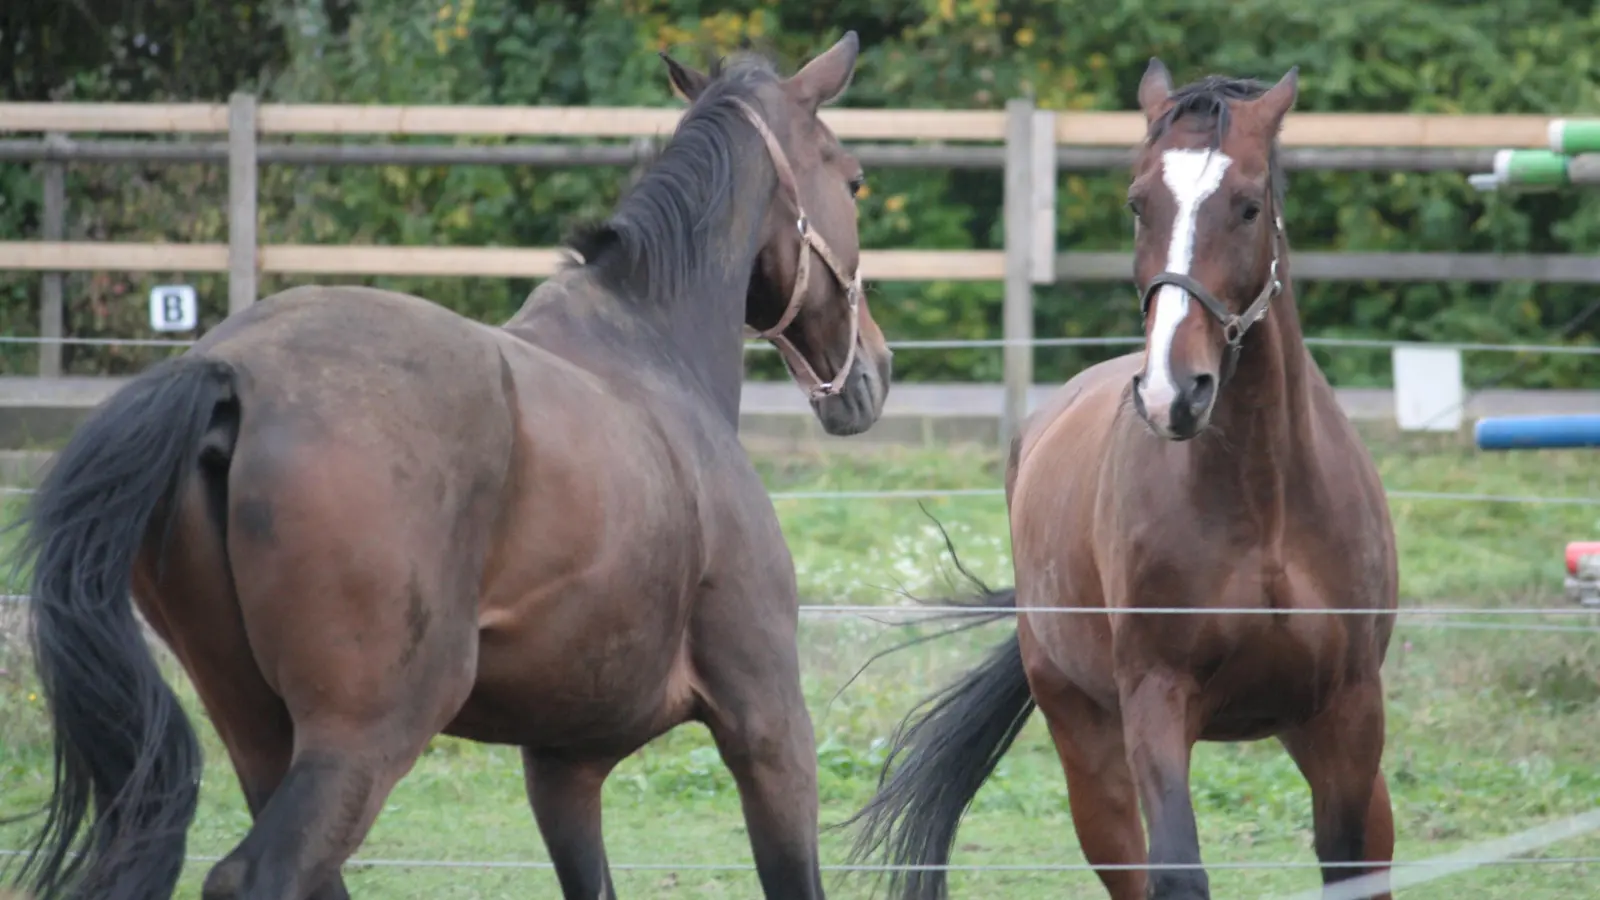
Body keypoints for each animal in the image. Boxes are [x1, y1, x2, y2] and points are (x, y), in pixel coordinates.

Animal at [6, 32, 891, 900]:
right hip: (363, 737)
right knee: (258, 874)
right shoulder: (768, 723)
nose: (874, 371)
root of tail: (226, 376)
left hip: (258, 730)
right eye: (853, 180)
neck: (652, 348)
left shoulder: (563, 765)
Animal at [842, 60, 1399, 900]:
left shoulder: (1349, 709)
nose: (1175, 392)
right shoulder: (1156, 702)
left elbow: (1349, 864)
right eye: (1140, 203)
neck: (1265, 505)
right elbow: (1177, 871)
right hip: (1088, 745)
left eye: (1249, 205)